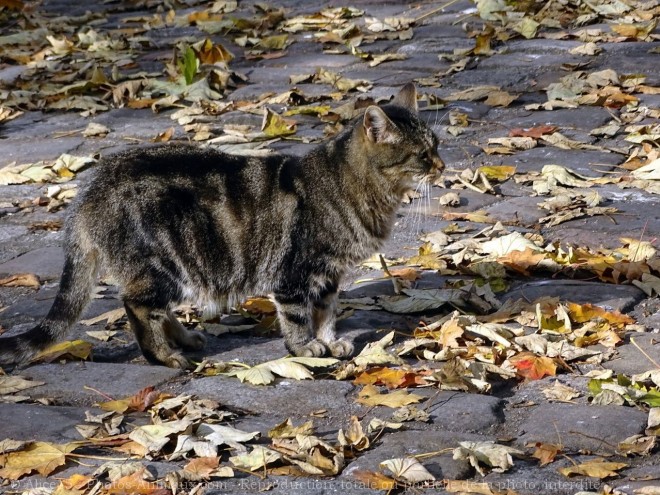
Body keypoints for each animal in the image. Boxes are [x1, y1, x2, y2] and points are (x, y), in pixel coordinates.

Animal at [1, 83, 444, 368]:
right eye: (422, 155)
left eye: (436, 145)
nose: (441, 165)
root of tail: (92, 187)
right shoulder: (296, 273)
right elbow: (299, 316)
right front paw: (306, 348)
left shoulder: (329, 275)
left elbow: (326, 312)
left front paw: (330, 342)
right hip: (163, 265)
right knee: (137, 306)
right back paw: (165, 355)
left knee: (157, 308)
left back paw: (185, 338)